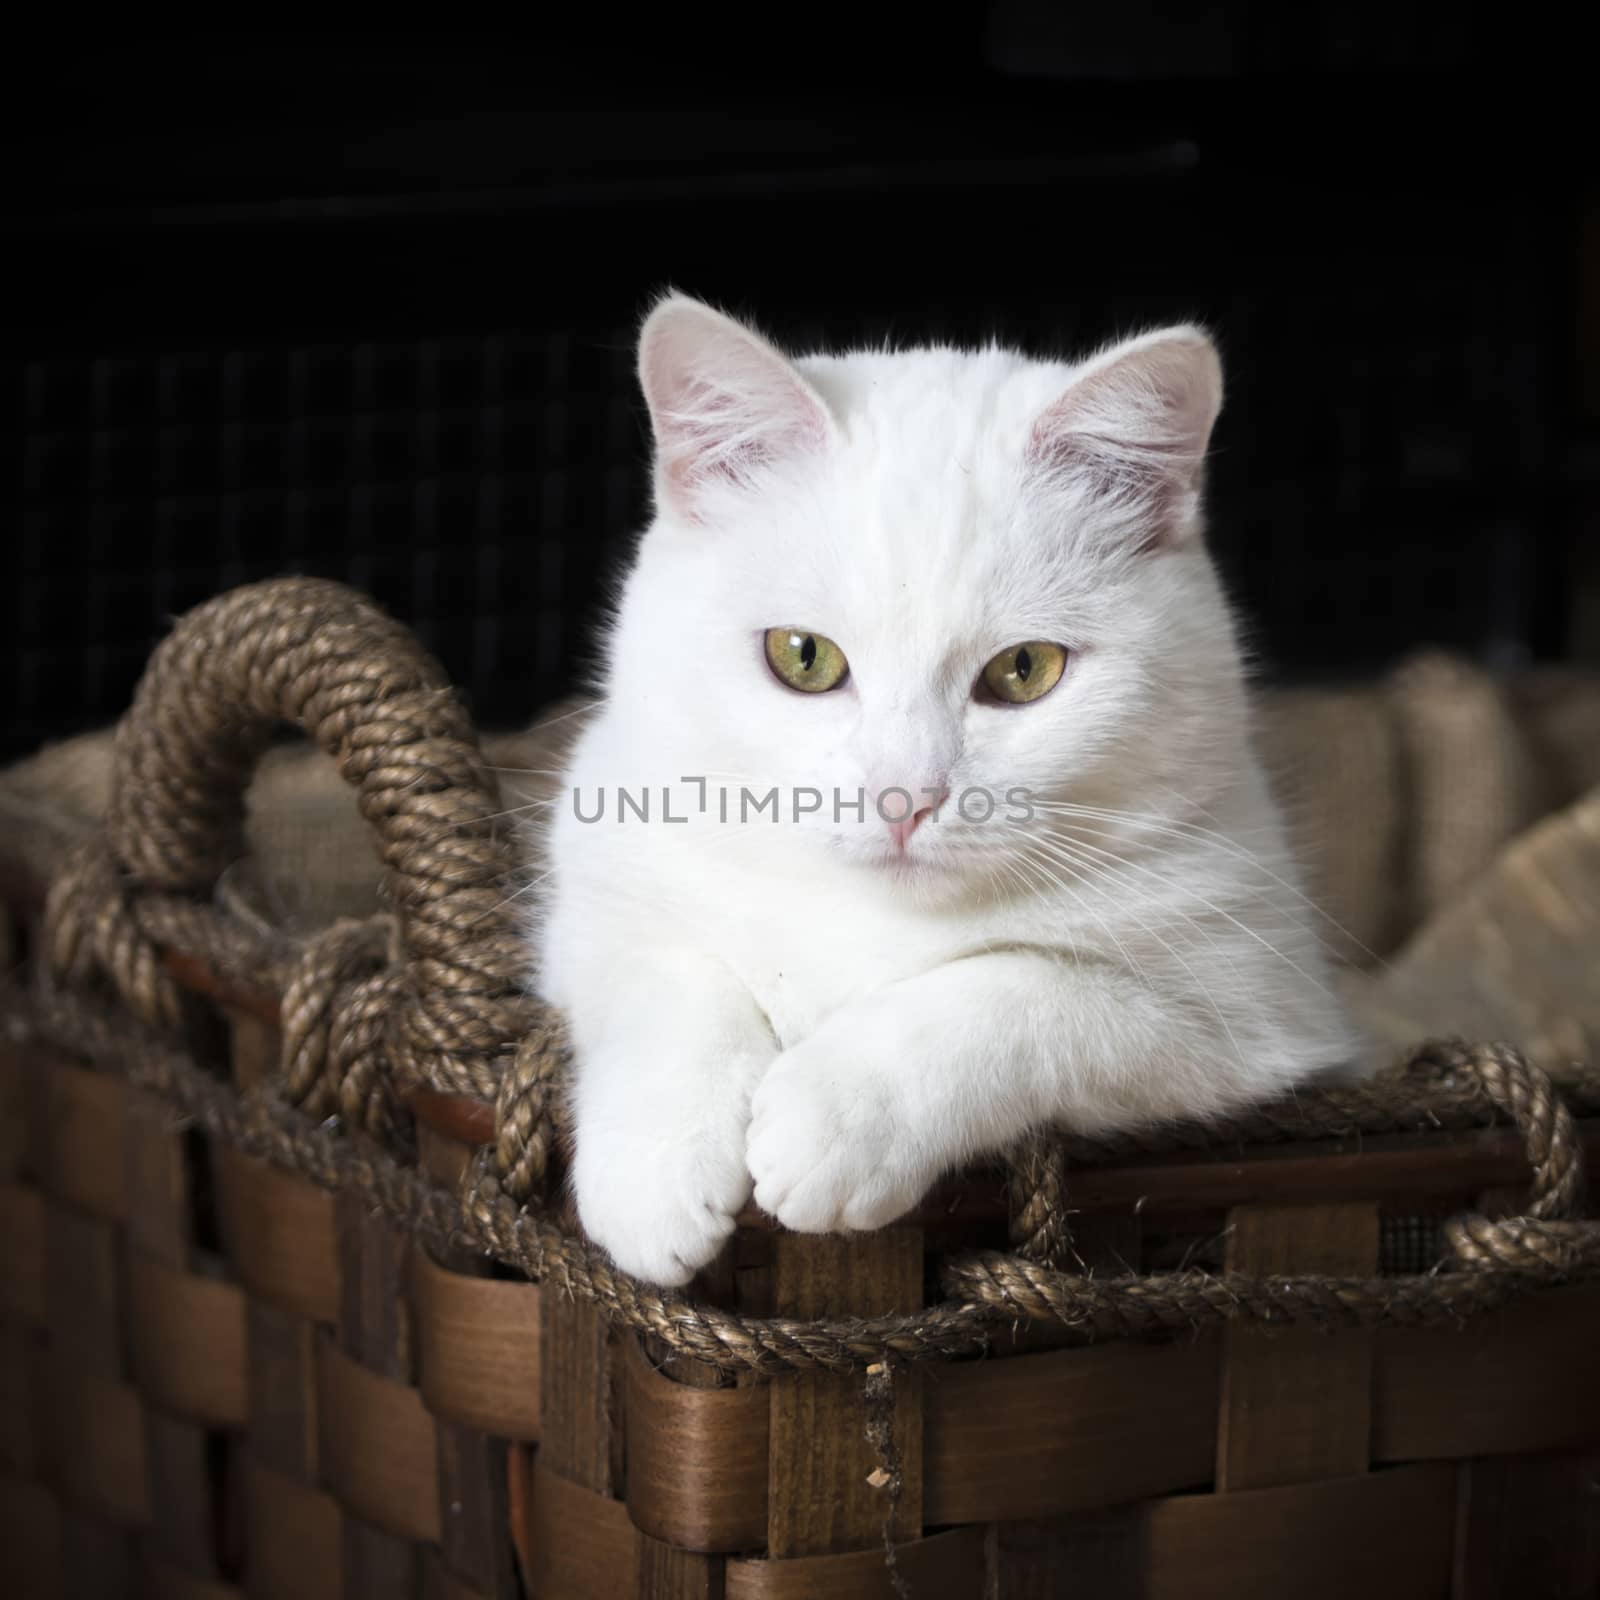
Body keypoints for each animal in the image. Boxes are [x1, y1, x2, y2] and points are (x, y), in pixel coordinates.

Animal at [531, 291, 1356, 1286]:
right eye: (802, 657)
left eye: (1025, 670)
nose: (905, 796)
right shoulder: (600, 897)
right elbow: (669, 981)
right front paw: (655, 1170)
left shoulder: (1250, 1018)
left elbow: (1017, 994)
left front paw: (837, 1117)